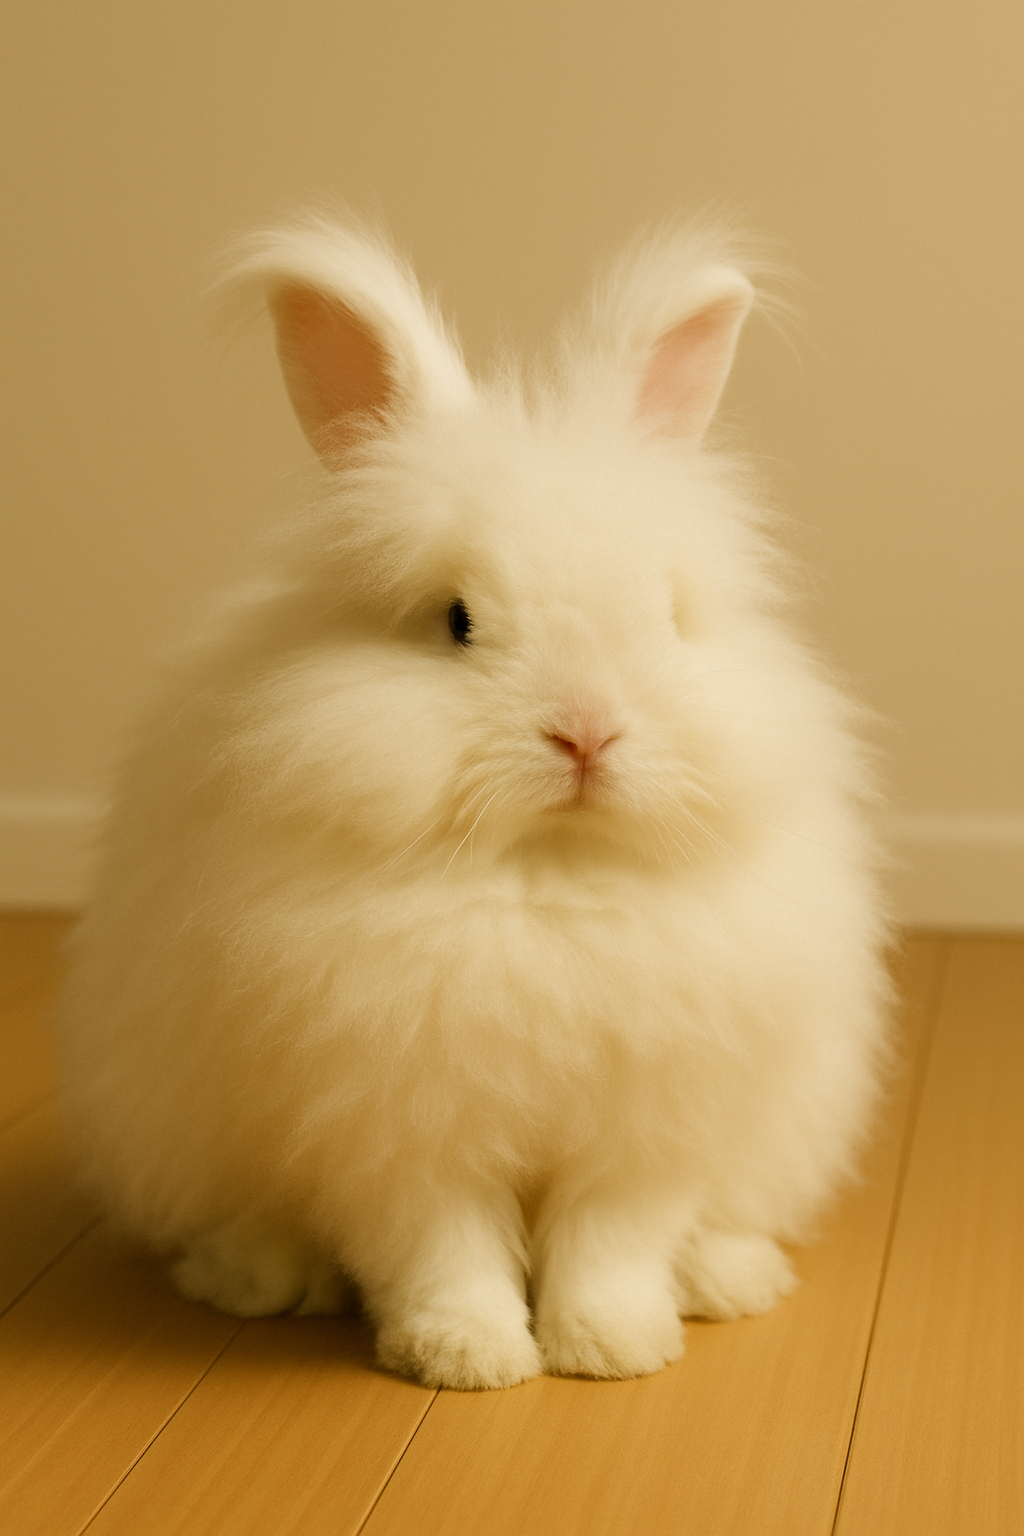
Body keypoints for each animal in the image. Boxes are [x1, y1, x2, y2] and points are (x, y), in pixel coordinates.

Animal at [59, 215, 891, 1391]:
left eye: (665, 614)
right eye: (455, 621)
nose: (586, 732)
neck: (547, 872)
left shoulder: (649, 1126)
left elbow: (613, 1243)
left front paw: (611, 1348)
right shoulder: (397, 1128)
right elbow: (436, 1248)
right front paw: (469, 1358)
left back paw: (729, 1280)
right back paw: (257, 1279)